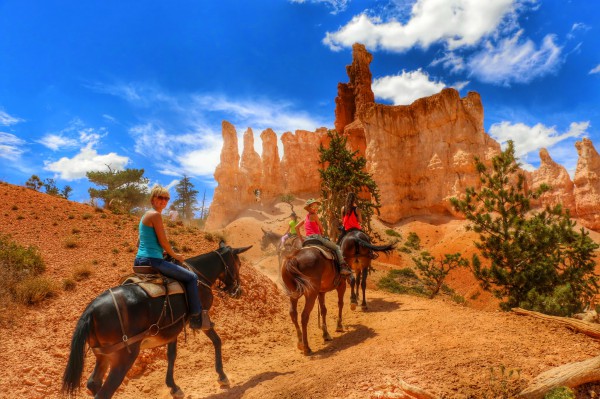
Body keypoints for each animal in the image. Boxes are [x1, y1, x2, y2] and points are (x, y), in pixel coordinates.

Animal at [59, 241, 250, 399]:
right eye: (239, 264)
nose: (238, 291)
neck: (198, 276)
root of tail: (91, 309)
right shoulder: (202, 318)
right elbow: (217, 341)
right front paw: (222, 376)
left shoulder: (173, 328)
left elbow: (171, 355)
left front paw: (173, 387)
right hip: (123, 357)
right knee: (104, 392)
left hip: (103, 356)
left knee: (93, 383)